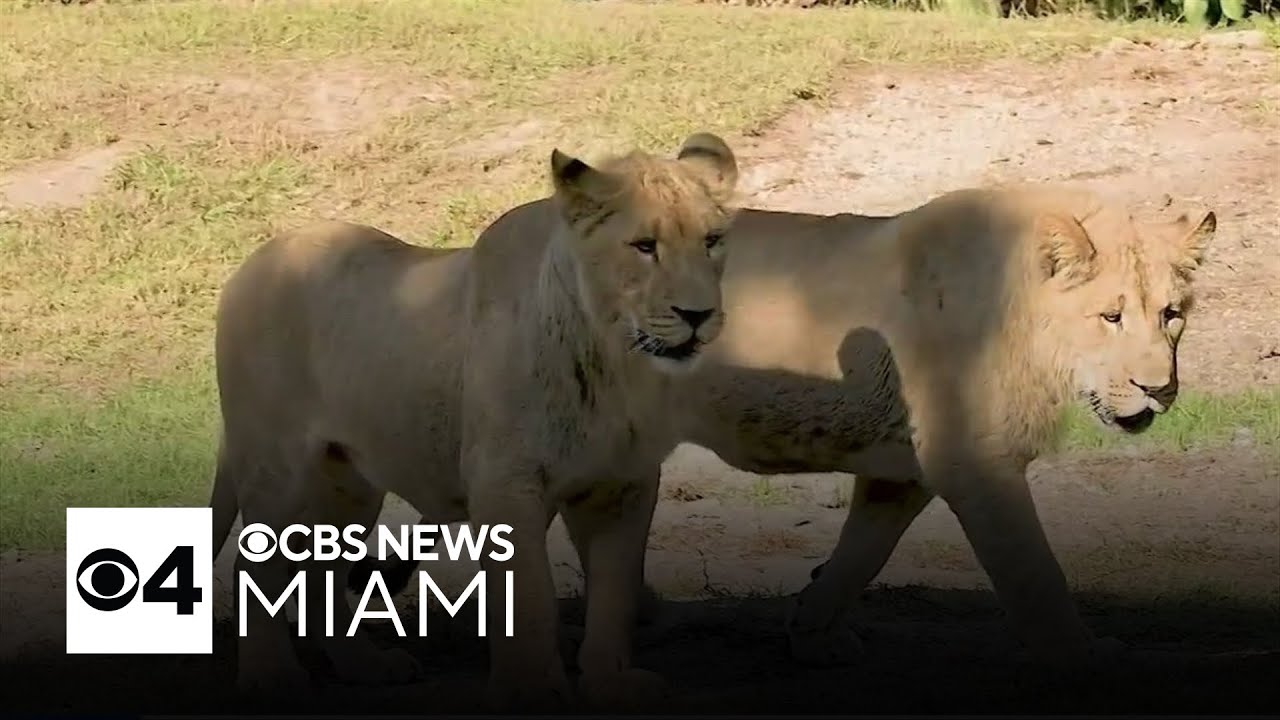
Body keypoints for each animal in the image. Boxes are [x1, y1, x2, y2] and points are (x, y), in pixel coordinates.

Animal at [207, 131, 741, 710]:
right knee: (252, 566)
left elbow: (614, 592)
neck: (612, 363)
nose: (698, 315)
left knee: (318, 574)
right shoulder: (505, 482)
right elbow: (528, 594)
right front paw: (531, 689)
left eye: (712, 241)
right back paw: (271, 677)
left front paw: (610, 683)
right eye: (645, 246)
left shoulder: (623, 485)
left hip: (348, 482)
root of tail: (252, 260)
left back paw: (365, 666)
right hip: (275, 464)